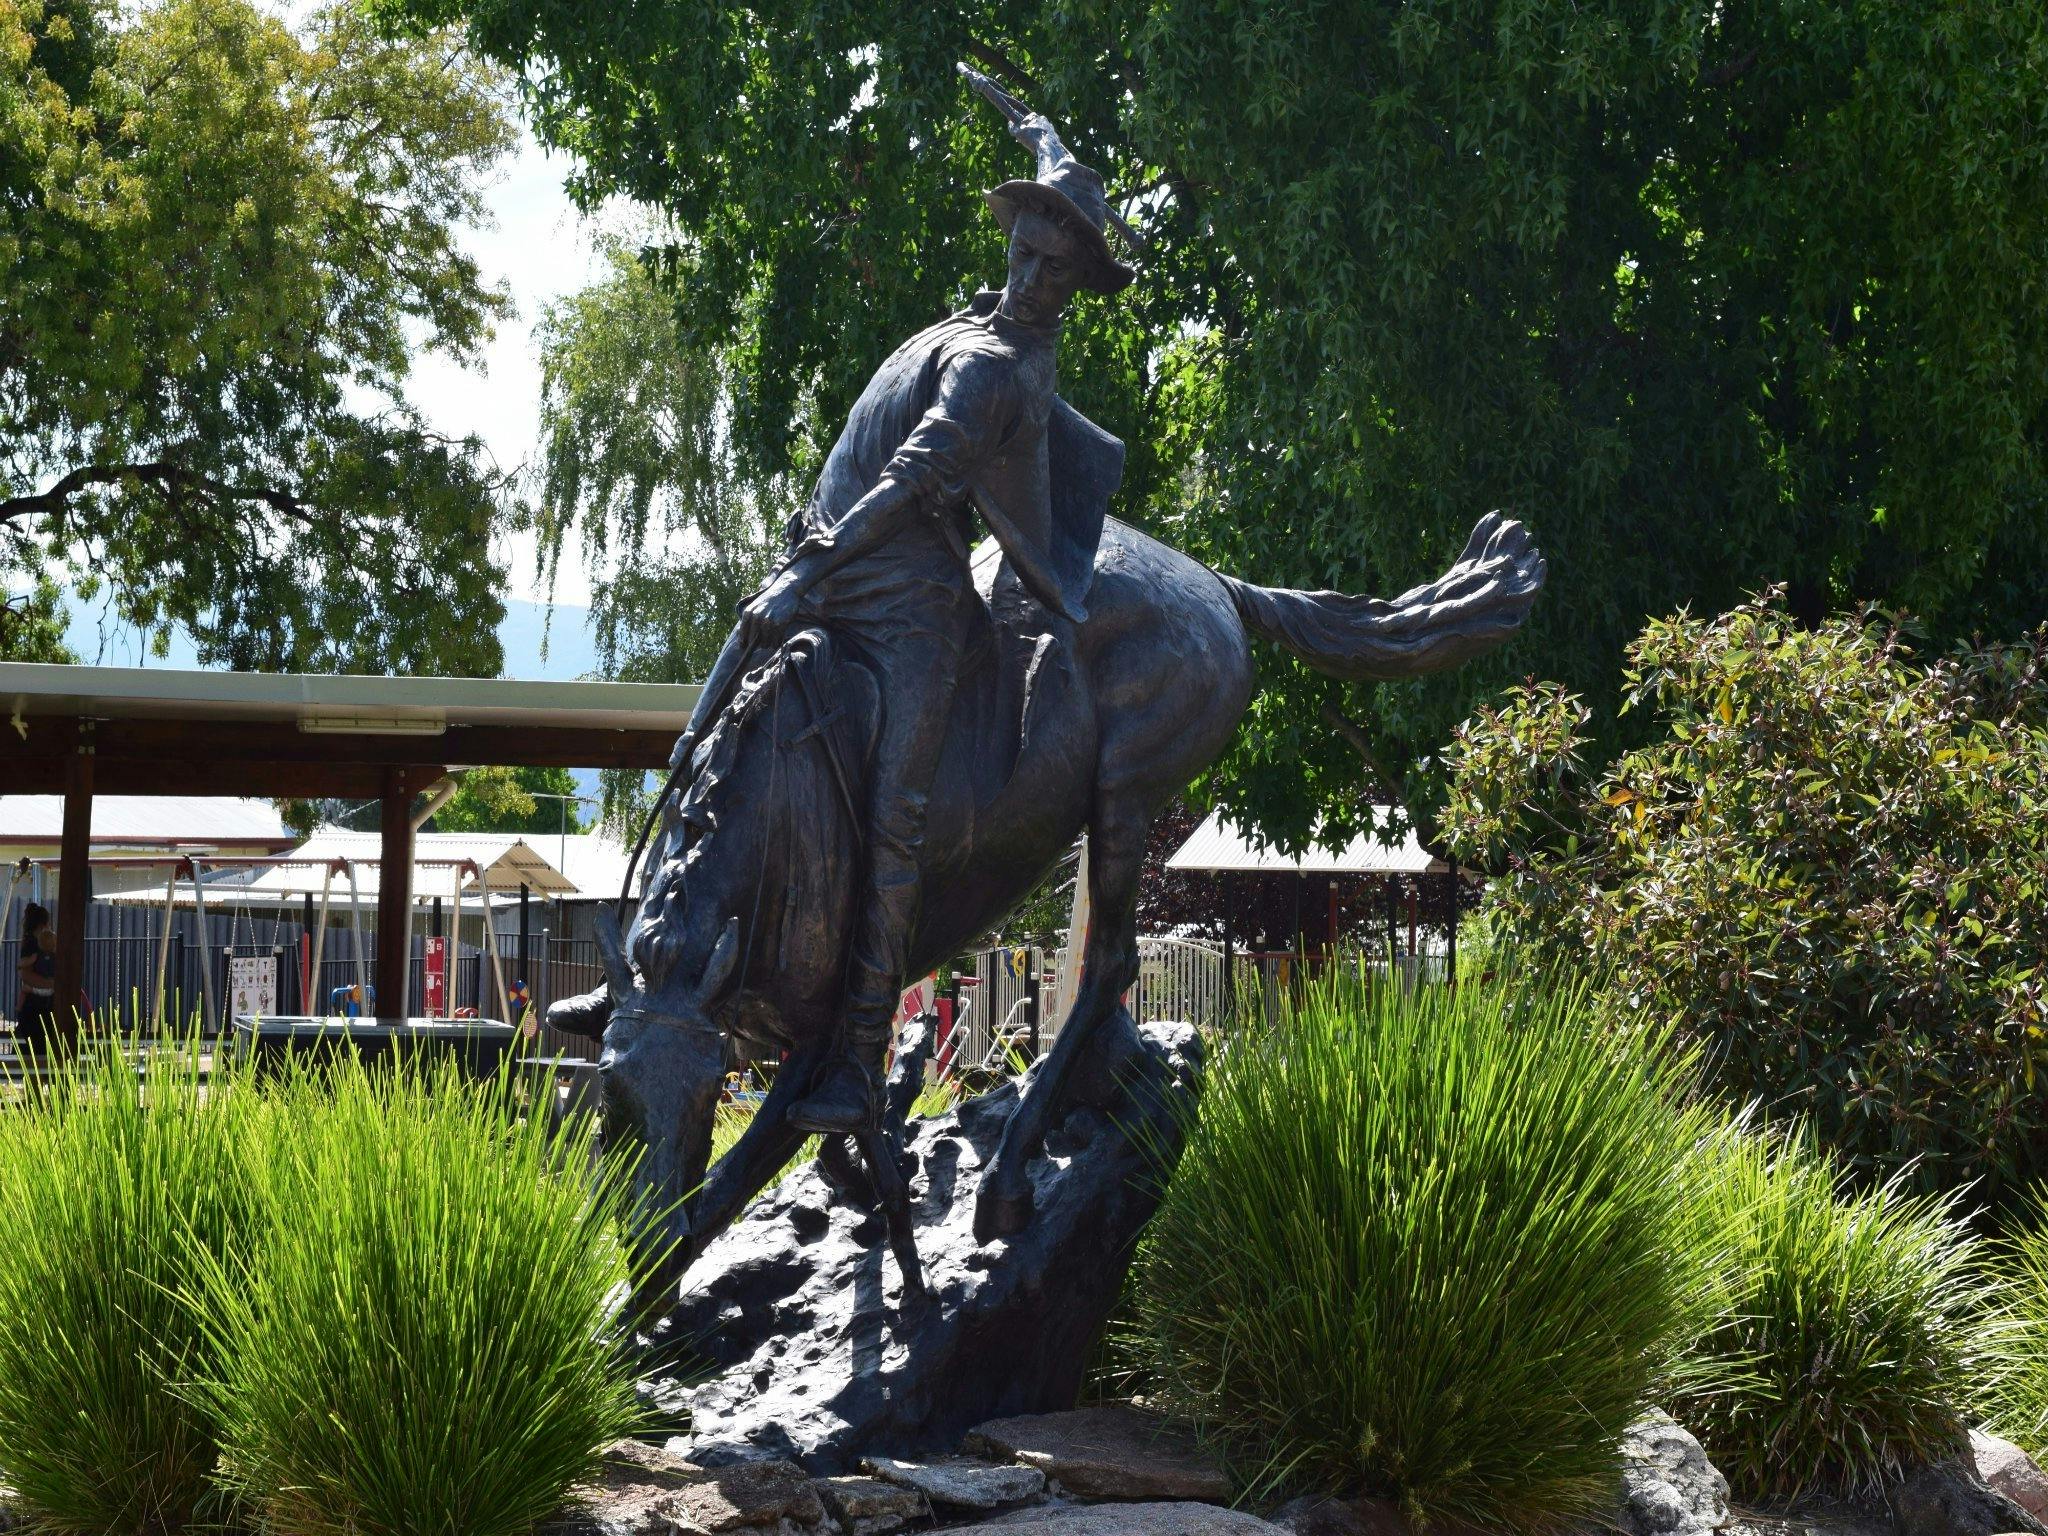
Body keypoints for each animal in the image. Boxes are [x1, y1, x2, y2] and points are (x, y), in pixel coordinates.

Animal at [552, 514, 1540, 1286]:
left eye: (706, 1094)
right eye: (610, 1099)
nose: (646, 1237)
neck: (770, 827)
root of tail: (1217, 586)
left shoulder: (821, 1032)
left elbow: (743, 1175)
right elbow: (841, 1132)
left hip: (1129, 791)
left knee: (1108, 958)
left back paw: (1010, 1179)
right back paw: (1105, 1086)